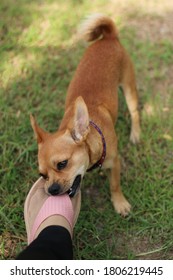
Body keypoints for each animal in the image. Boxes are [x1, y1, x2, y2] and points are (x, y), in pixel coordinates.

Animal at [30, 14, 140, 217]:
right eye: (42, 175)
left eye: (62, 164)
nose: (51, 190)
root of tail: (109, 37)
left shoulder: (115, 163)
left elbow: (115, 185)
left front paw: (119, 203)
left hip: (129, 88)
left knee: (135, 112)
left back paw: (135, 134)